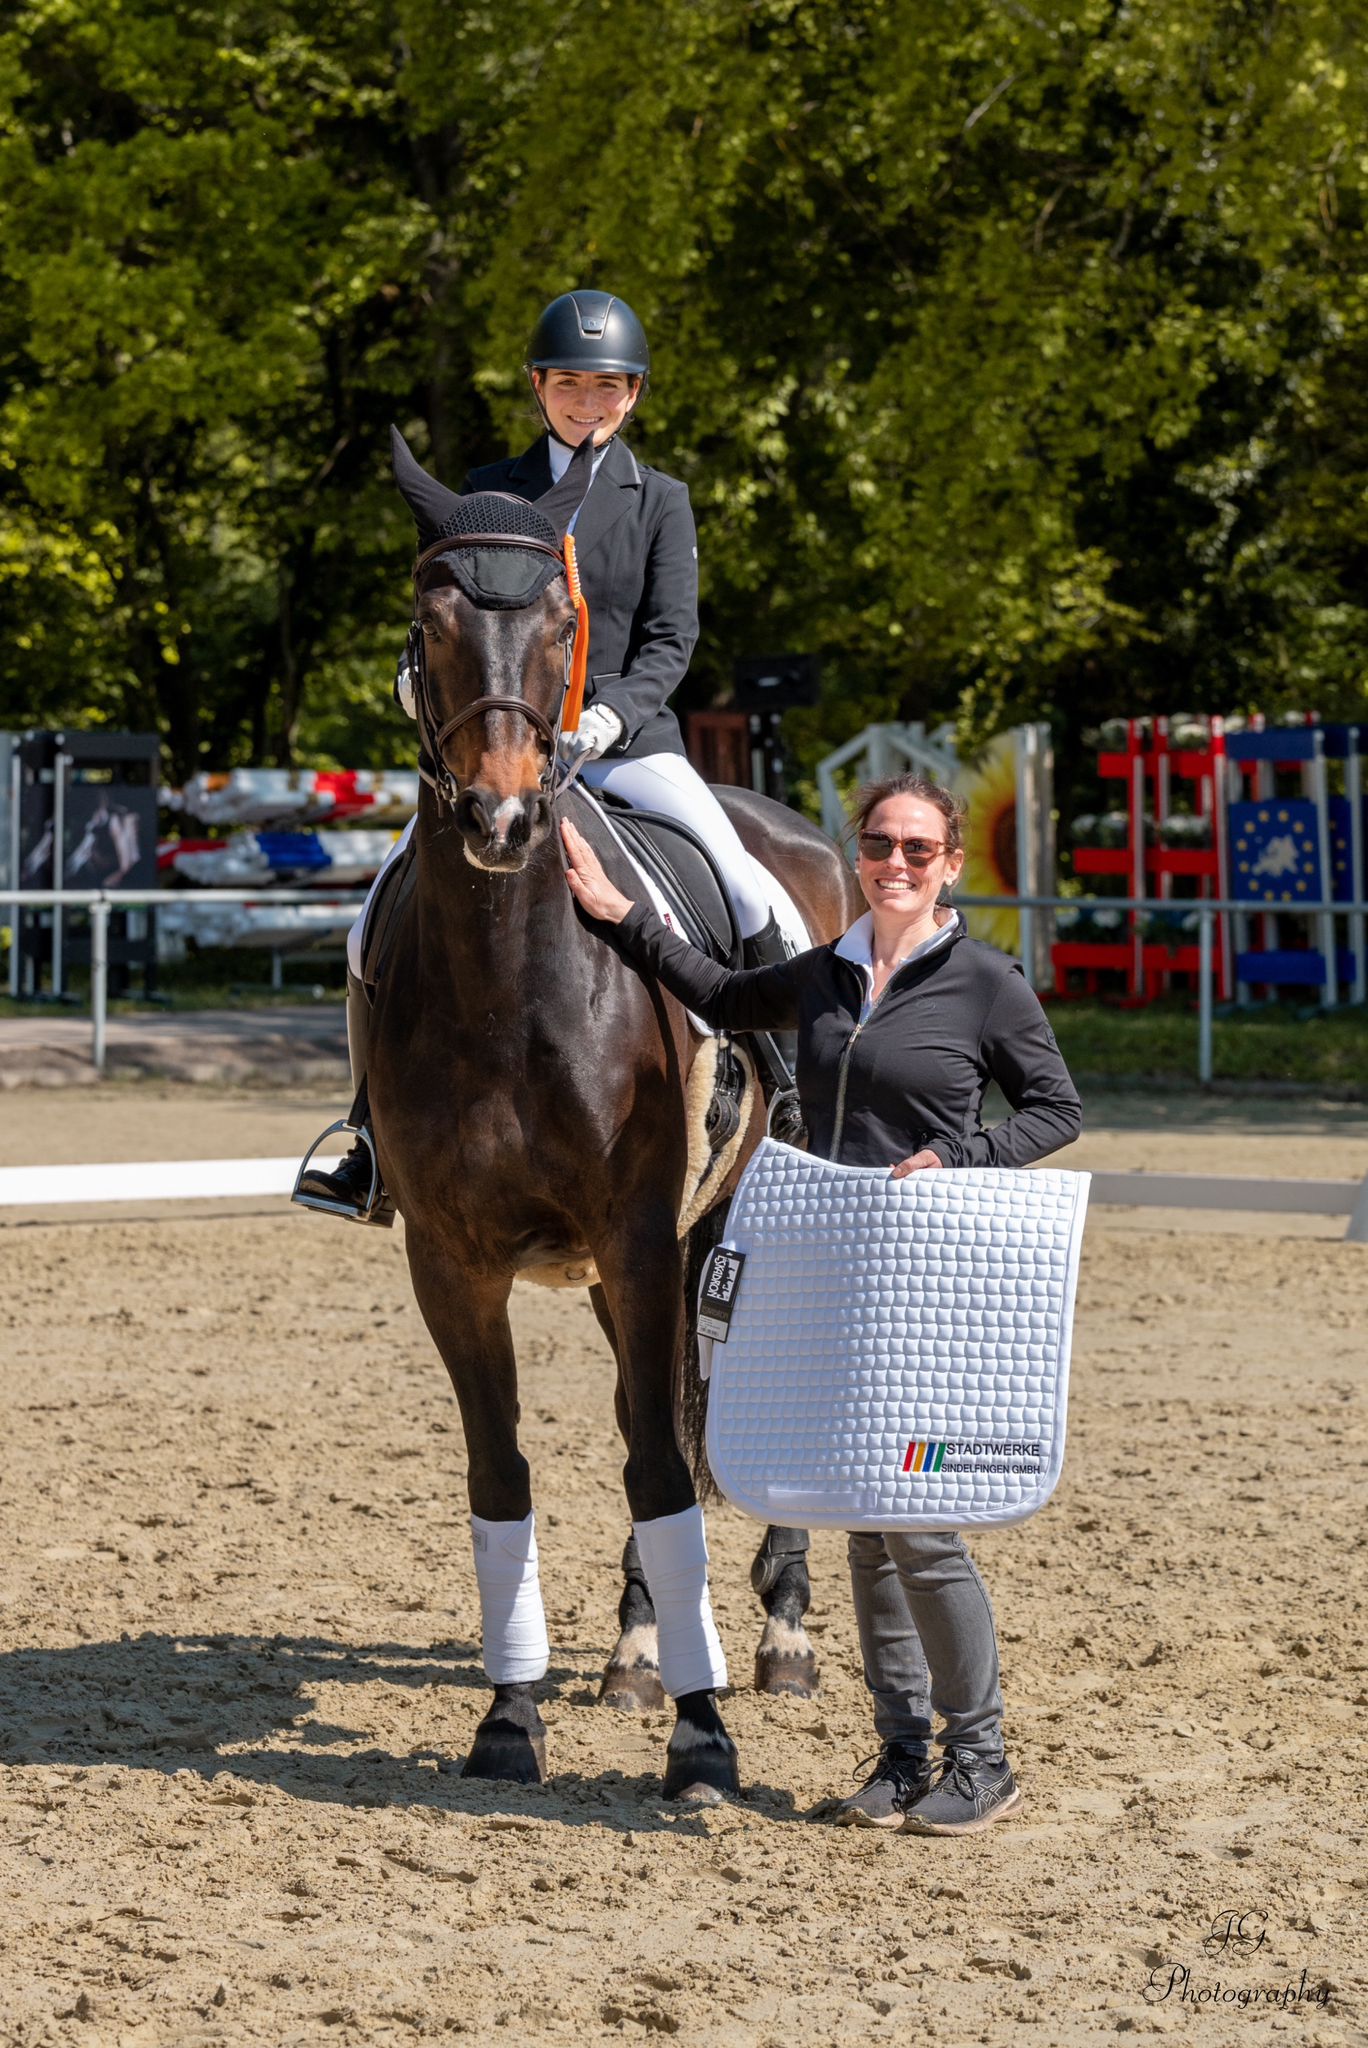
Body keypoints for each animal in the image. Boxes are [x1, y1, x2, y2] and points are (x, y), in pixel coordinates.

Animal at [362, 444, 856, 1794]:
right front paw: (508, 1717)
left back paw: (778, 1632)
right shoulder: (455, 1259)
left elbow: (656, 1458)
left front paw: (704, 1733)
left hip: (731, 1222)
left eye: (560, 620)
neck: (504, 976)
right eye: (429, 617)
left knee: (707, 1412)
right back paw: (640, 1646)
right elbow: (502, 1472)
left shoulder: (638, 1237)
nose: (500, 820)